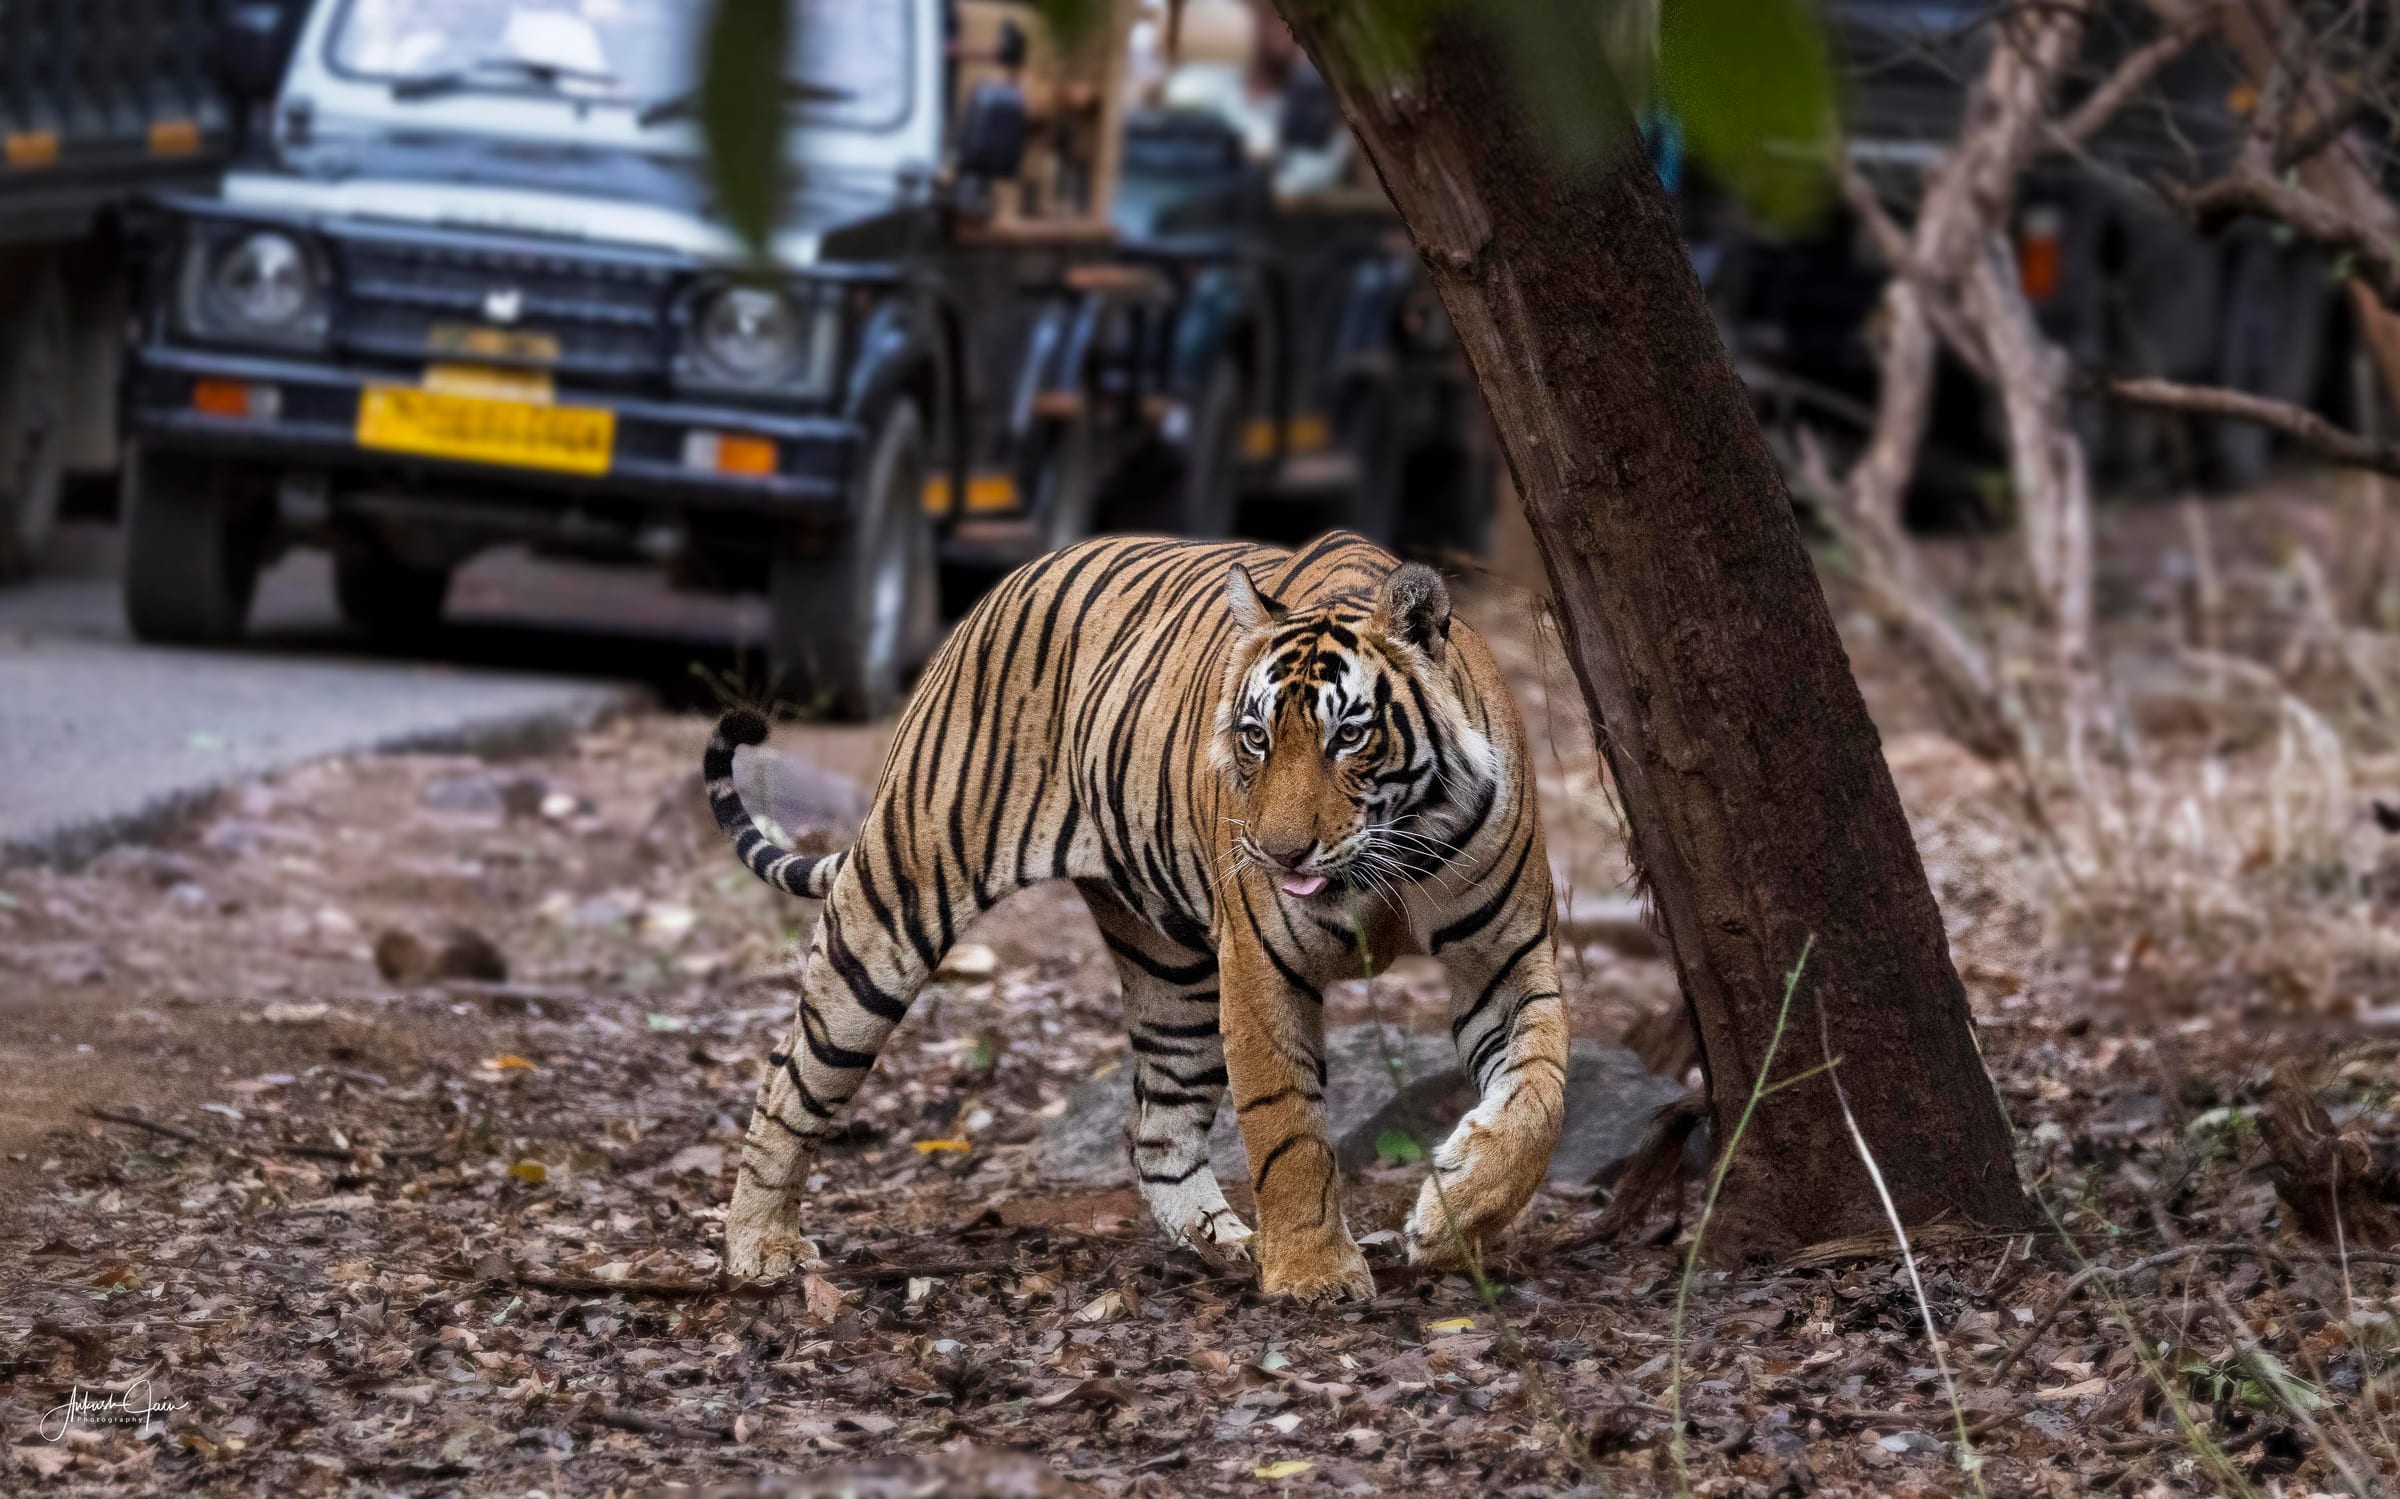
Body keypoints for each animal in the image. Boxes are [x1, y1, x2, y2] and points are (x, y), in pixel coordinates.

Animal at [701, 531, 1568, 1303]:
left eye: (1348, 735)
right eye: (1256, 737)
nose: (1280, 853)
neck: (1393, 856)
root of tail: (1005, 583)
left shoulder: (1506, 956)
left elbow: (1540, 1095)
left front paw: (1453, 1212)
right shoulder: (1262, 968)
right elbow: (1287, 1126)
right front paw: (1313, 1273)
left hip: (1171, 968)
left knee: (1156, 1127)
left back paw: (1224, 1241)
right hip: (896, 901)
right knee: (789, 1073)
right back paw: (759, 1244)